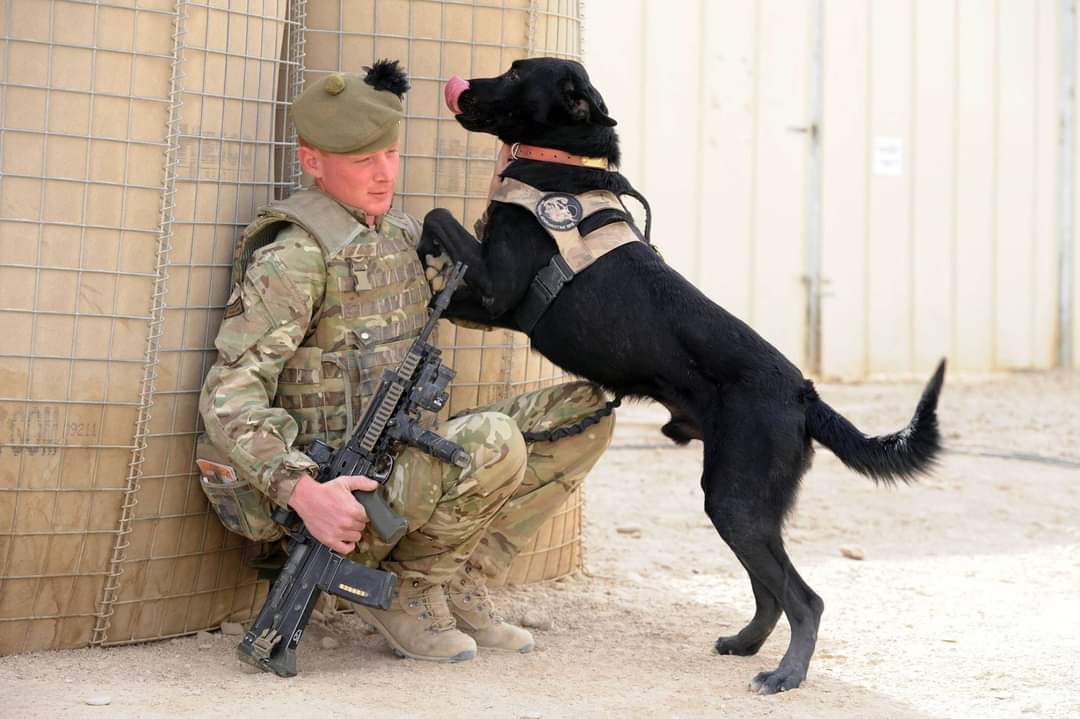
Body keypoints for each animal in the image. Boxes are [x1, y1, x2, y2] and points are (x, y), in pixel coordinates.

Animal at [421, 57, 946, 695]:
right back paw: (745, 645)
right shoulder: (488, 304)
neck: (563, 163)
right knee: (770, 592)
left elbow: (435, 217)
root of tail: (804, 393)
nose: (462, 86)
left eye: (519, 74)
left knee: (804, 599)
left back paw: (784, 675)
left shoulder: (498, 292)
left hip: (735, 498)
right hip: (745, 505)